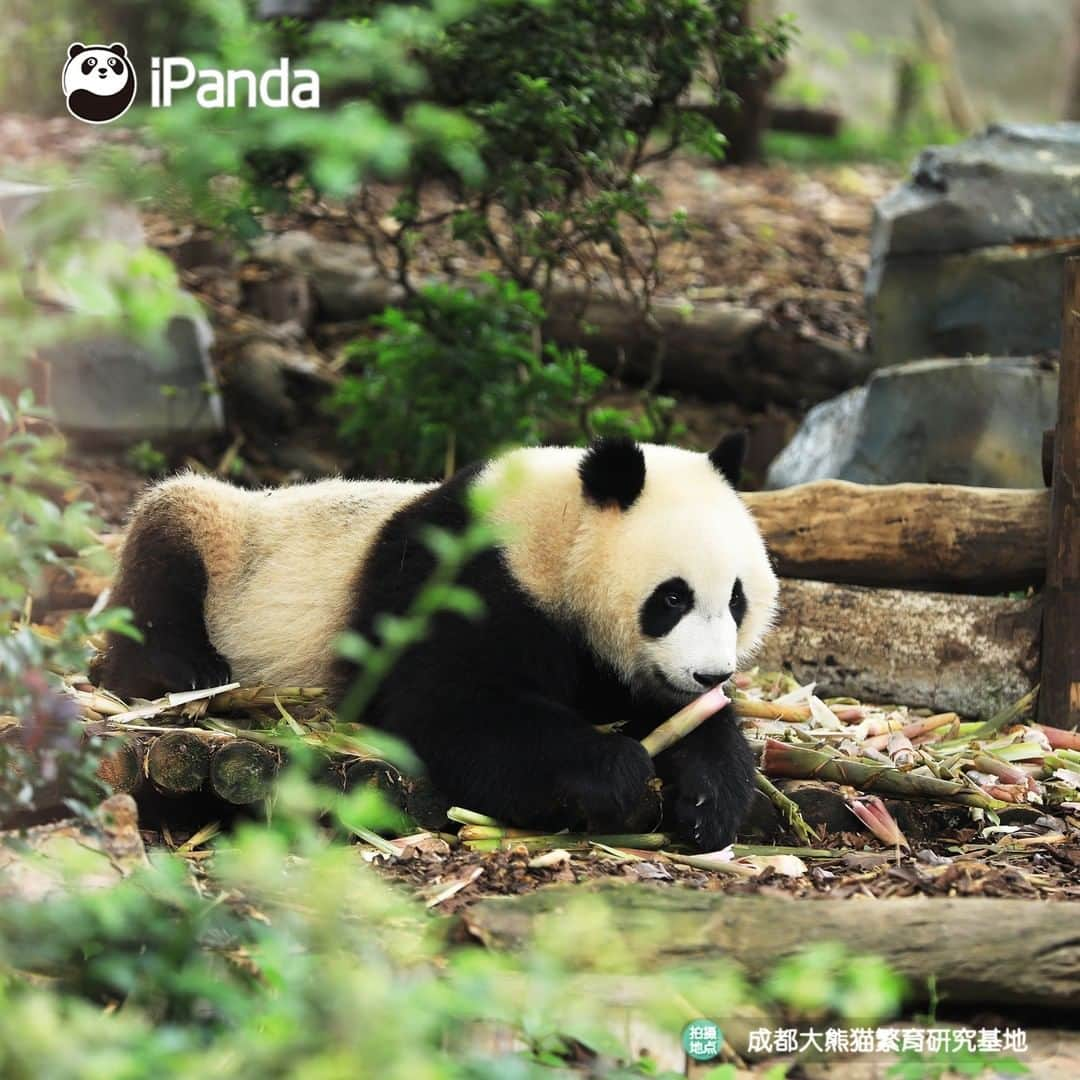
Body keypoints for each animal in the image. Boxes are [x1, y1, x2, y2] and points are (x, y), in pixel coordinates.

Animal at [95, 434, 777, 846]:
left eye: (736, 599)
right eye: (672, 598)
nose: (711, 675)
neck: (552, 538)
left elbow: (680, 716)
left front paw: (710, 799)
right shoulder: (456, 578)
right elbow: (447, 707)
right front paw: (615, 769)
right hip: (228, 539)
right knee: (167, 544)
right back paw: (183, 669)